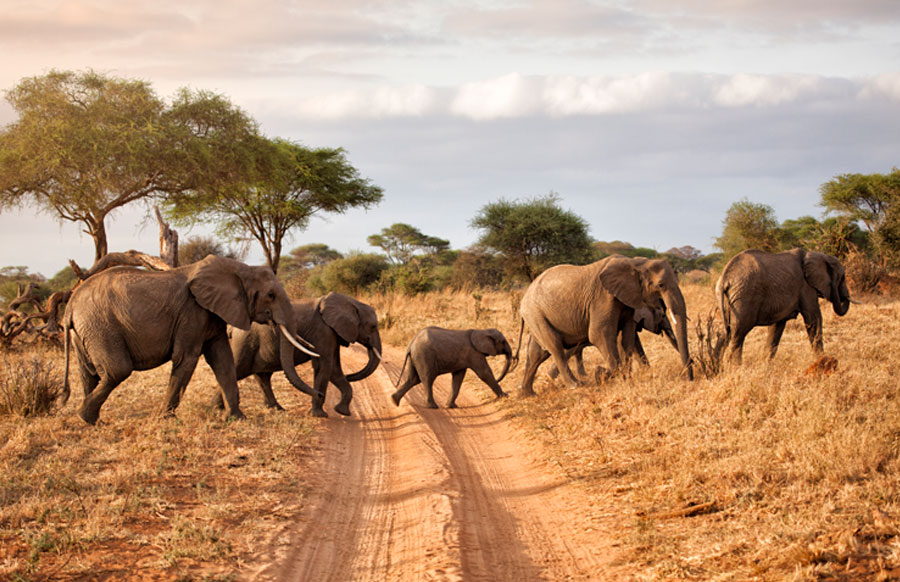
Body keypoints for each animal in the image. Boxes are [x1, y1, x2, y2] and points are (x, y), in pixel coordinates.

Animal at [61, 255, 318, 424]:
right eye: (271, 295)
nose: (320, 397)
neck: (239, 269)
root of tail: (70, 305)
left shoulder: (212, 313)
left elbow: (223, 361)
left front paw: (238, 418)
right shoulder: (192, 312)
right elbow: (187, 358)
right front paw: (164, 419)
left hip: (85, 331)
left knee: (89, 373)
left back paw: (92, 422)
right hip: (101, 326)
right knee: (117, 370)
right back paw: (85, 416)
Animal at [221, 292, 382, 418]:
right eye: (373, 326)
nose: (320, 394)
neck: (351, 302)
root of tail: (232, 328)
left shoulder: (332, 333)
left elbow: (334, 370)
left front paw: (342, 412)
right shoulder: (323, 331)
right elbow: (325, 367)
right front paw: (320, 415)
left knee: (262, 376)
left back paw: (276, 409)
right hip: (245, 341)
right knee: (238, 369)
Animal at [516, 255, 693, 395]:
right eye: (661, 285)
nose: (690, 378)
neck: (636, 263)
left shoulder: (627, 301)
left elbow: (628, 338)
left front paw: (626, 378)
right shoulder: (603, 297)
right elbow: (599, 334)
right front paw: (602, 374)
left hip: (536, 316)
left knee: (537, 353)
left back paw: (527, 394)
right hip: (535, 313)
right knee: (555, 346)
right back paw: (575, 385)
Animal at [715, 248, 855, 363]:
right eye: (842, 278)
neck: (817, 254)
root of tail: (724, 279)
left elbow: (777, 327)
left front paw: (766, 365)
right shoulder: (805, 287)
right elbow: (813, 319)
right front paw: (822, 359)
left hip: (729, 300)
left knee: (725, 333)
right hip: (744, 297)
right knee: (738, 333)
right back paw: (735, 368)